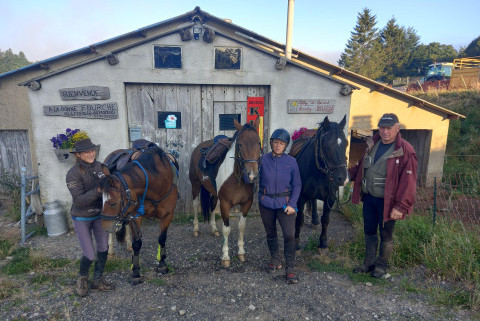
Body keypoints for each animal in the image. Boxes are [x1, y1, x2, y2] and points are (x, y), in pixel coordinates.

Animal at [98, 144, 179, 284]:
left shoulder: (167, 215)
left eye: (113, 203)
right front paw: (135, 272)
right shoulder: (135, 216)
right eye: (102, 200)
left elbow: (162, 239)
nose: (105, 227)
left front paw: (162, 265)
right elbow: (137, 243)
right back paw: (111, 250)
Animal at [218, 116, 262, 266]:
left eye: (258, 143)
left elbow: (241, 226)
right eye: (241, 145)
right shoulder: (224, 203)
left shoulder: (247, 203)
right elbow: (226, 229)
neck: (236, 179)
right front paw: (225, 256)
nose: (252, 175)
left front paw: (241, 252)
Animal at [292, 115, 348, 248]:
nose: (342, 178)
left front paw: (323, 242)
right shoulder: (300, 198)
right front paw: (296, 243)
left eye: (346, 143)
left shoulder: (331, 198)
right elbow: (299, 219)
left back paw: (315, 220)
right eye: (326, 144)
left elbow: (326, 219)